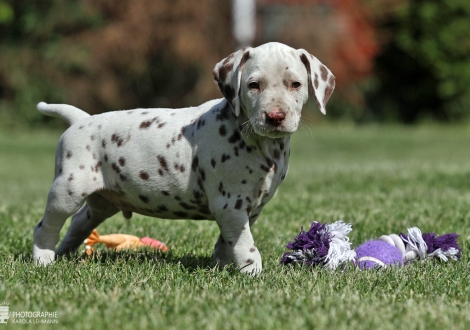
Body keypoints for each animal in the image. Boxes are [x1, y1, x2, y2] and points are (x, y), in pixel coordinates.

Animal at [33, 42, 334, 274]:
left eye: (295, 84)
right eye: (253, 85)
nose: (275, 117)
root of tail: (81, 120)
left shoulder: (249, 208)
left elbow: (226, 241)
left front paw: (220, 266)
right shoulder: (230, 204)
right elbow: (245, 244)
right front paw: (252, 272)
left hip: (102, 203)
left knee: (77, 225)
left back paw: (63, 254)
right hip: (68, 190)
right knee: (46, 226)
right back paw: (44, 259)